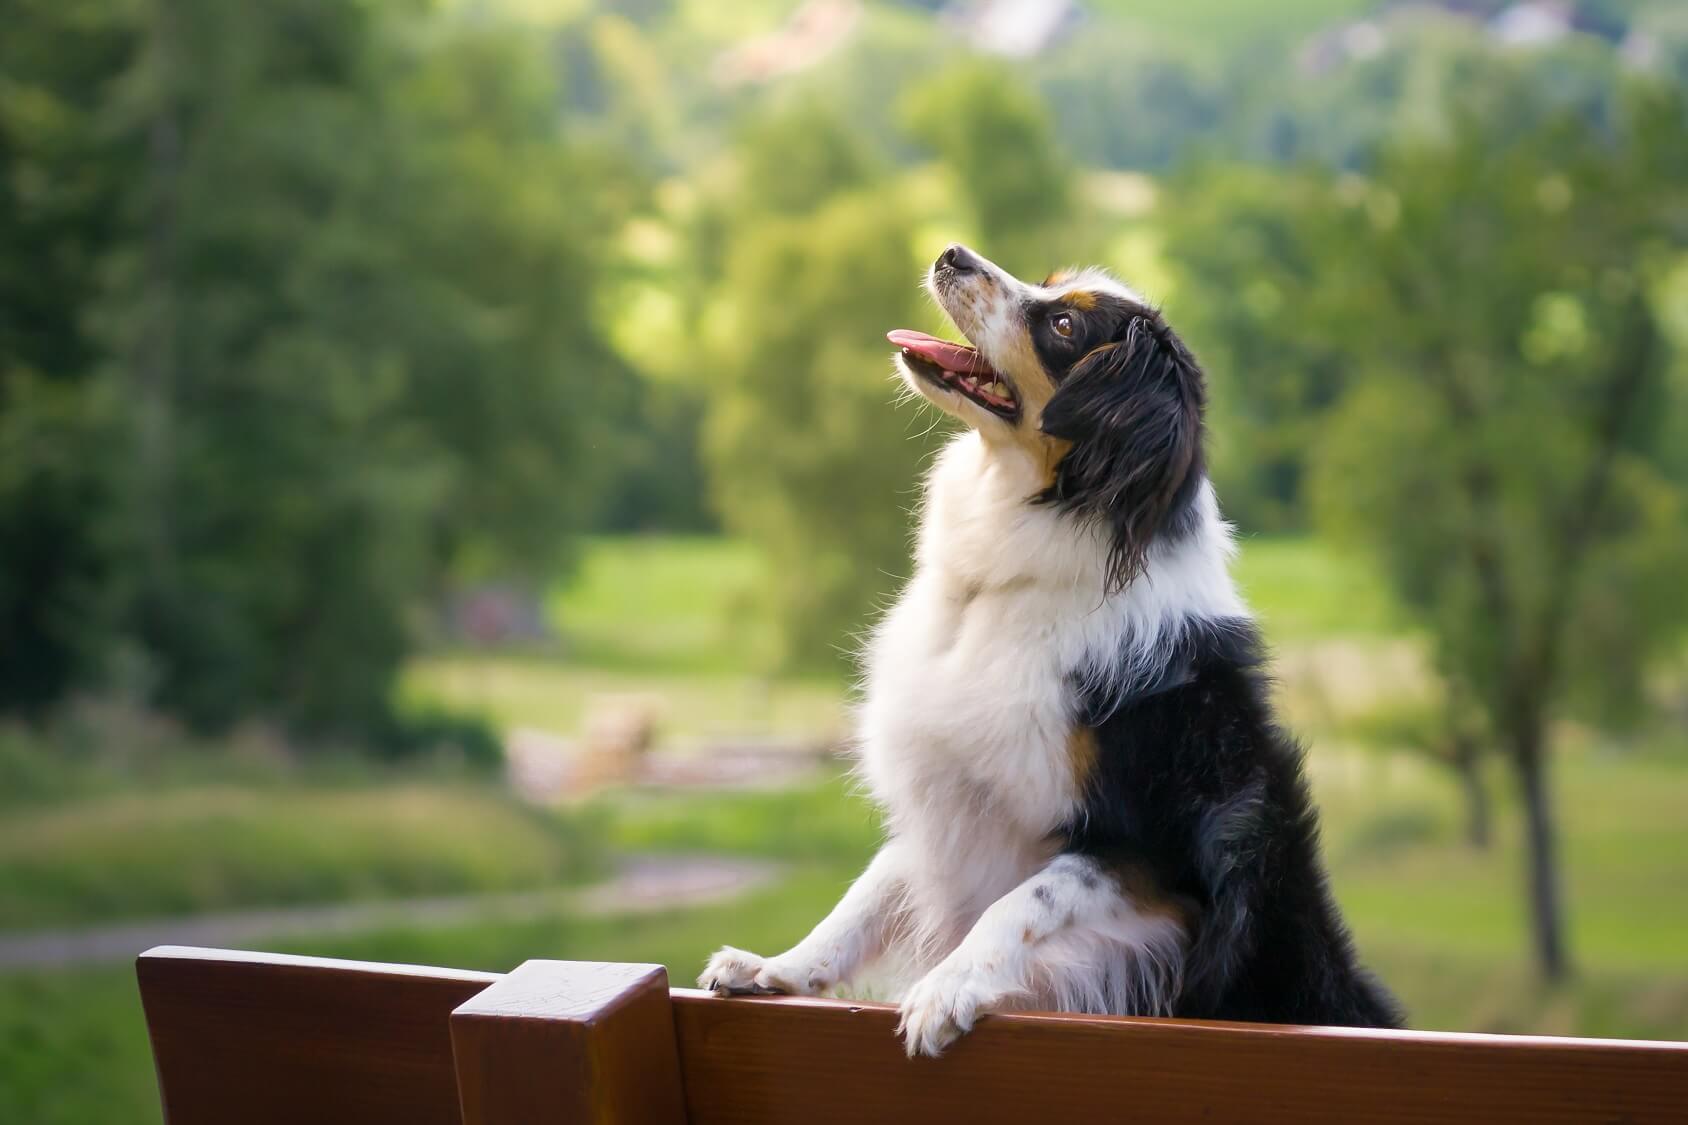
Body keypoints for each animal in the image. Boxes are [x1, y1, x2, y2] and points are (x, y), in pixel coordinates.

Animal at [695, 243, 1397, 1054]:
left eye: (1062, 325)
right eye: (1051, 286)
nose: (951, 252)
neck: (1003, 584)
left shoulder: (1144, 850)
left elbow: (1019, 902)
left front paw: (947, 989)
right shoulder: (943, 794)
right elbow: (864, 896)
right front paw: (777, 967)